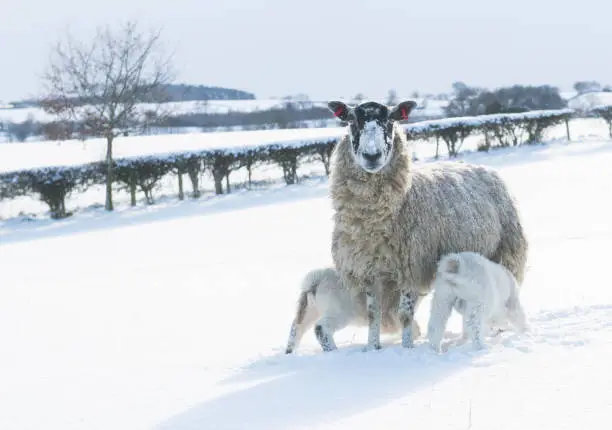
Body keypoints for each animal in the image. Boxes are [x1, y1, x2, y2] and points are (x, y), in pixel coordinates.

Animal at [286, 268, 420, 354]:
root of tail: (316, 281)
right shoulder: (395, 311)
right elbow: (411, 326)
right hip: (339, 314)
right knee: (320, 327)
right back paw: (333, 350)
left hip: (309, 310)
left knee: (296, 328)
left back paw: (289, 351)